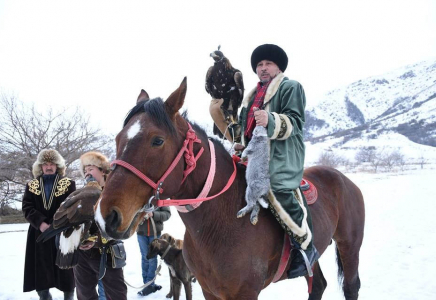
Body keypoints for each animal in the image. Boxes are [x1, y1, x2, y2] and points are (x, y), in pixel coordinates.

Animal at [94, 78, 364, 298]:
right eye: (118, 139)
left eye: (157, 140)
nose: (106, 215)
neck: (217, 224)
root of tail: (344, 180)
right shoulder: (209, 290)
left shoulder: (245, 293)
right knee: (317, 285)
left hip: (350, 246)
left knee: (351, 286)